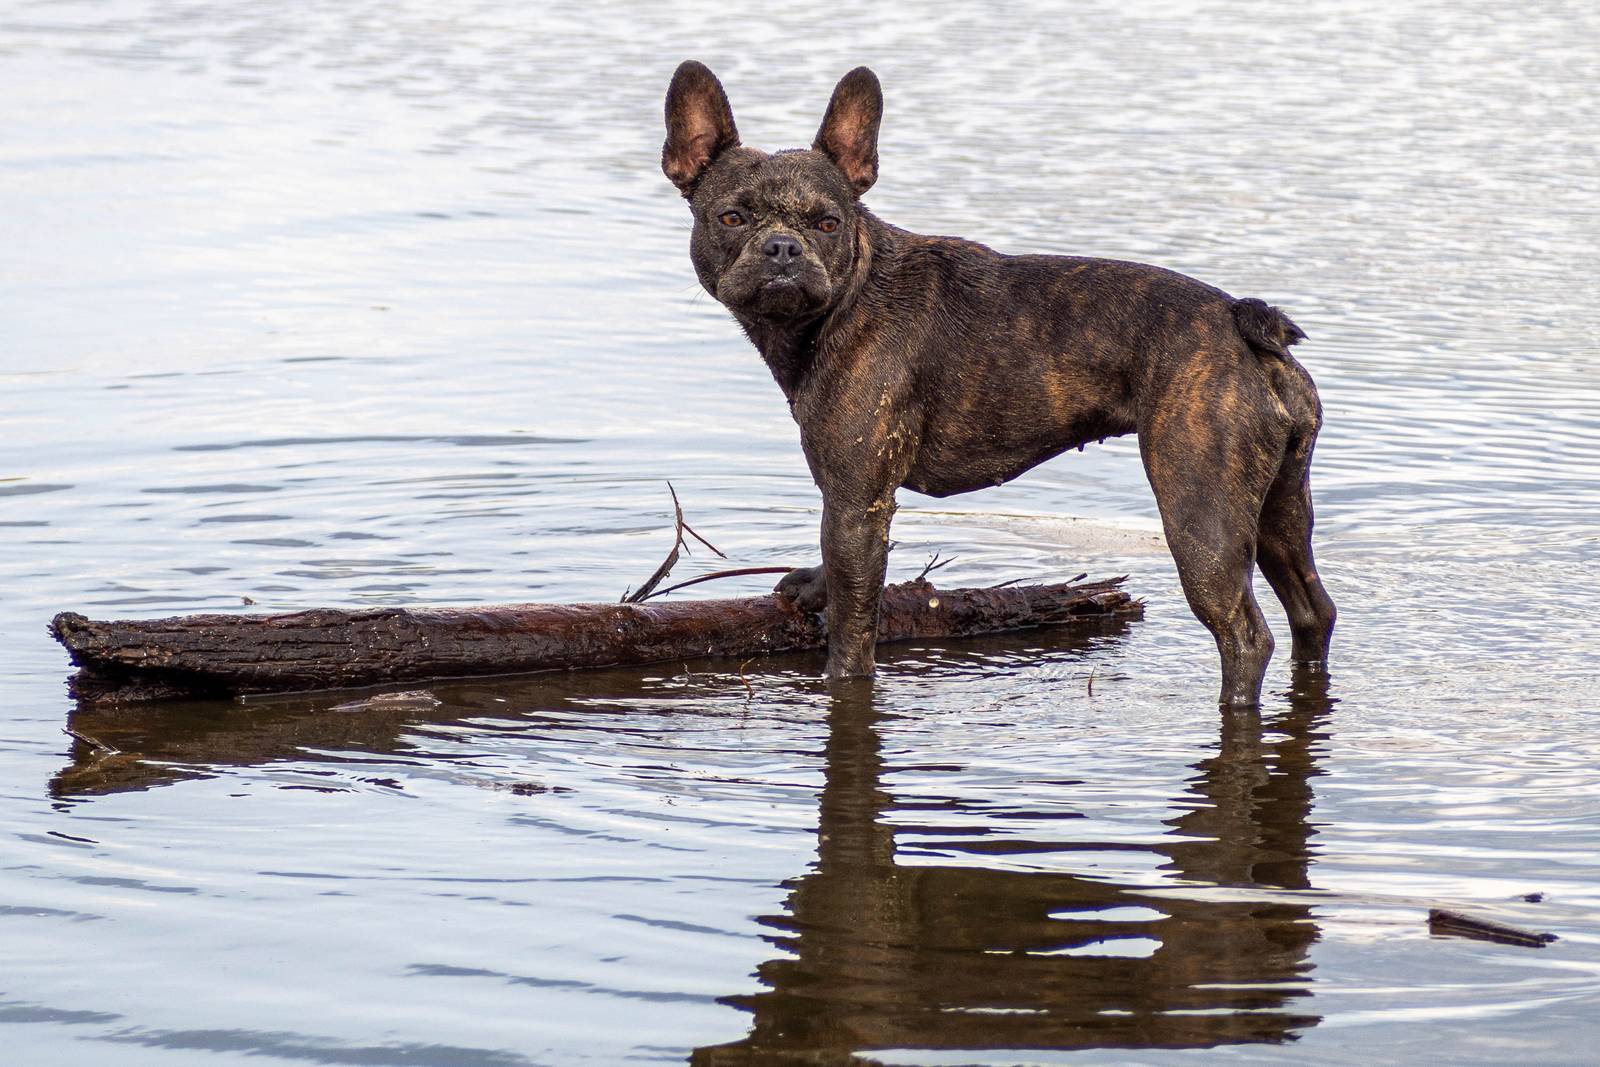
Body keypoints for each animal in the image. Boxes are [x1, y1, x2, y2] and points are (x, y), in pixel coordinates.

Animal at [656, 62, 1331, 703]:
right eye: (732, 217)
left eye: (827, 224)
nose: (782, 248)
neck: (846, 297)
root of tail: (1241, 322)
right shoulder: (853, 499)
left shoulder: (855, 501)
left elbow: (854, 625)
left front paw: (839, 674)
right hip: (1279, 509)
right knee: (1312, 609)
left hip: (1200, 513)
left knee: (1245, 634)